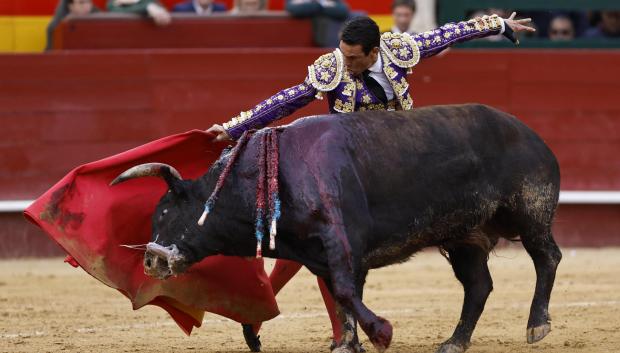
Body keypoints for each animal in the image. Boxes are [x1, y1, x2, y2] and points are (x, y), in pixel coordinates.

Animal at [111, 104, 560, 352]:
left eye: (166, 213)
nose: (151, 260)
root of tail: (529, 132)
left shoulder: (341, 242)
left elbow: (345, 292)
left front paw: (381, 333)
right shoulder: (319, 255)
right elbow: (340, 297)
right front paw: (347, 343)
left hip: (530, 210)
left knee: (547, 257)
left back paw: (537, 325)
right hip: (465, 235)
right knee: (478, 285)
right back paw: (454, 342)